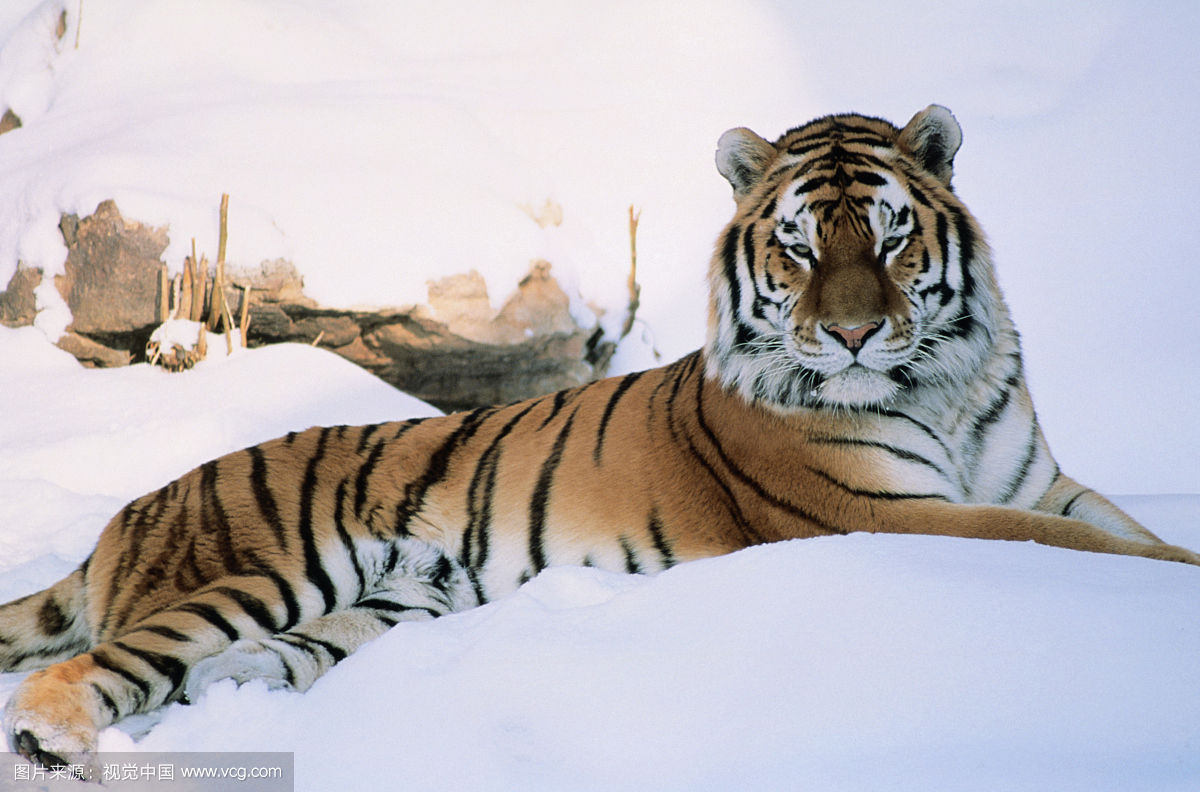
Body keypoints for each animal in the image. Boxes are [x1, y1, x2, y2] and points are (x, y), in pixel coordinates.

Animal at [2, 105, 1200, 768]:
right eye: (800, 247)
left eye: (893, 237)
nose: (854, 334)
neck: (944, 387)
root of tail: (125, 514)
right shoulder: (885, 513)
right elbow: (1082, 552)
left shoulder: (1040, 480)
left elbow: (1127, 533)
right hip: (260, 573)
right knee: (93, 669)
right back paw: (56, 745)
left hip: (384, 606)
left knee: (229, 667)